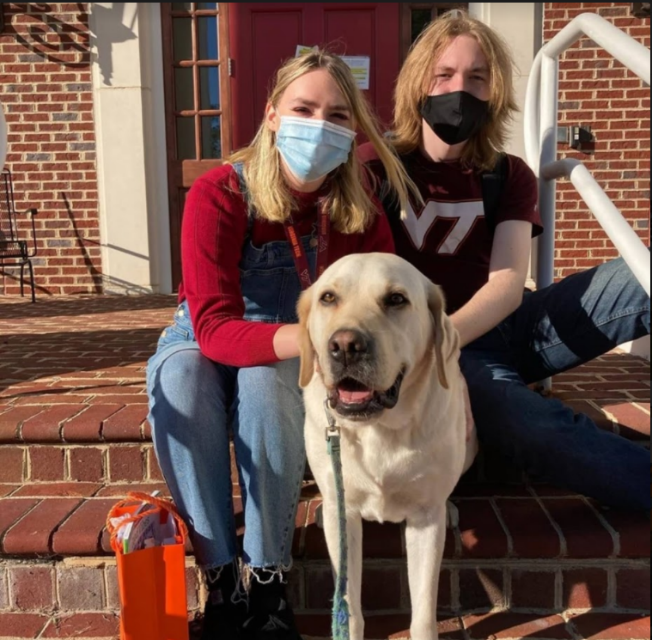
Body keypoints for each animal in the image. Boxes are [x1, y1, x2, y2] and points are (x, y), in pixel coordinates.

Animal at [298, 252, 476, 640]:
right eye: (328, 298)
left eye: (396, 299)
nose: (345, 346)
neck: (379, 428)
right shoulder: (346, 518)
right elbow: (349, 606)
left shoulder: (424, 520)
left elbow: (423, 612)